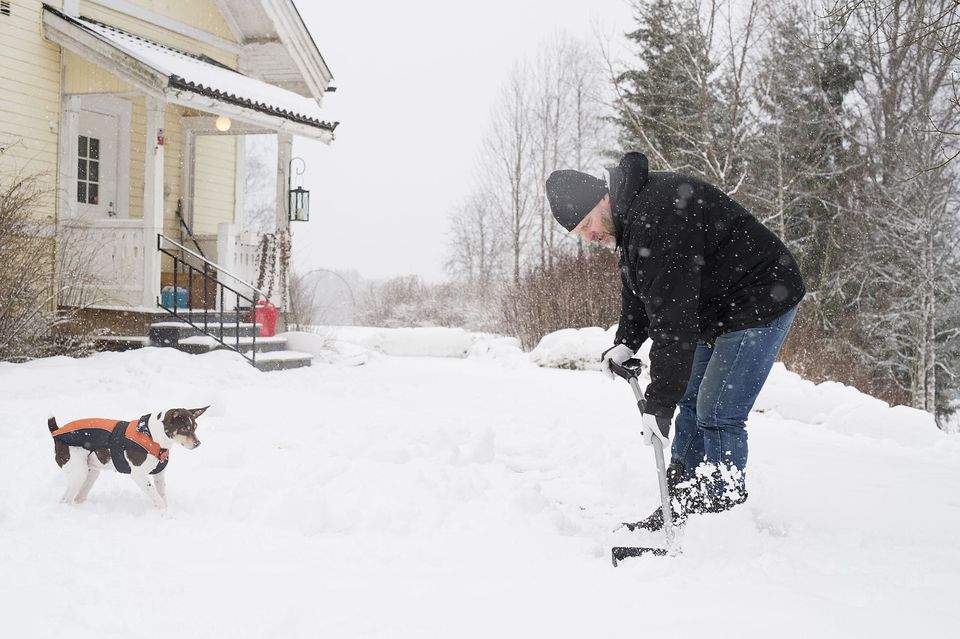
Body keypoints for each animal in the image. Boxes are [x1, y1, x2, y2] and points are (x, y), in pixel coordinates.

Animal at [47, 408, 207, 508]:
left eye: (195, 427)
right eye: (184, 428)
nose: (198, 443)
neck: (152, 435)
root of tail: (56, 432)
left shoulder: (159, 474)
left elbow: (161, 496)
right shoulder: (139, 476)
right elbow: (158, 498)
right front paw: (166, 515)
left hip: (91, 473)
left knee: (76, 497)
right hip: (79, 473)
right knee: (66, 500)